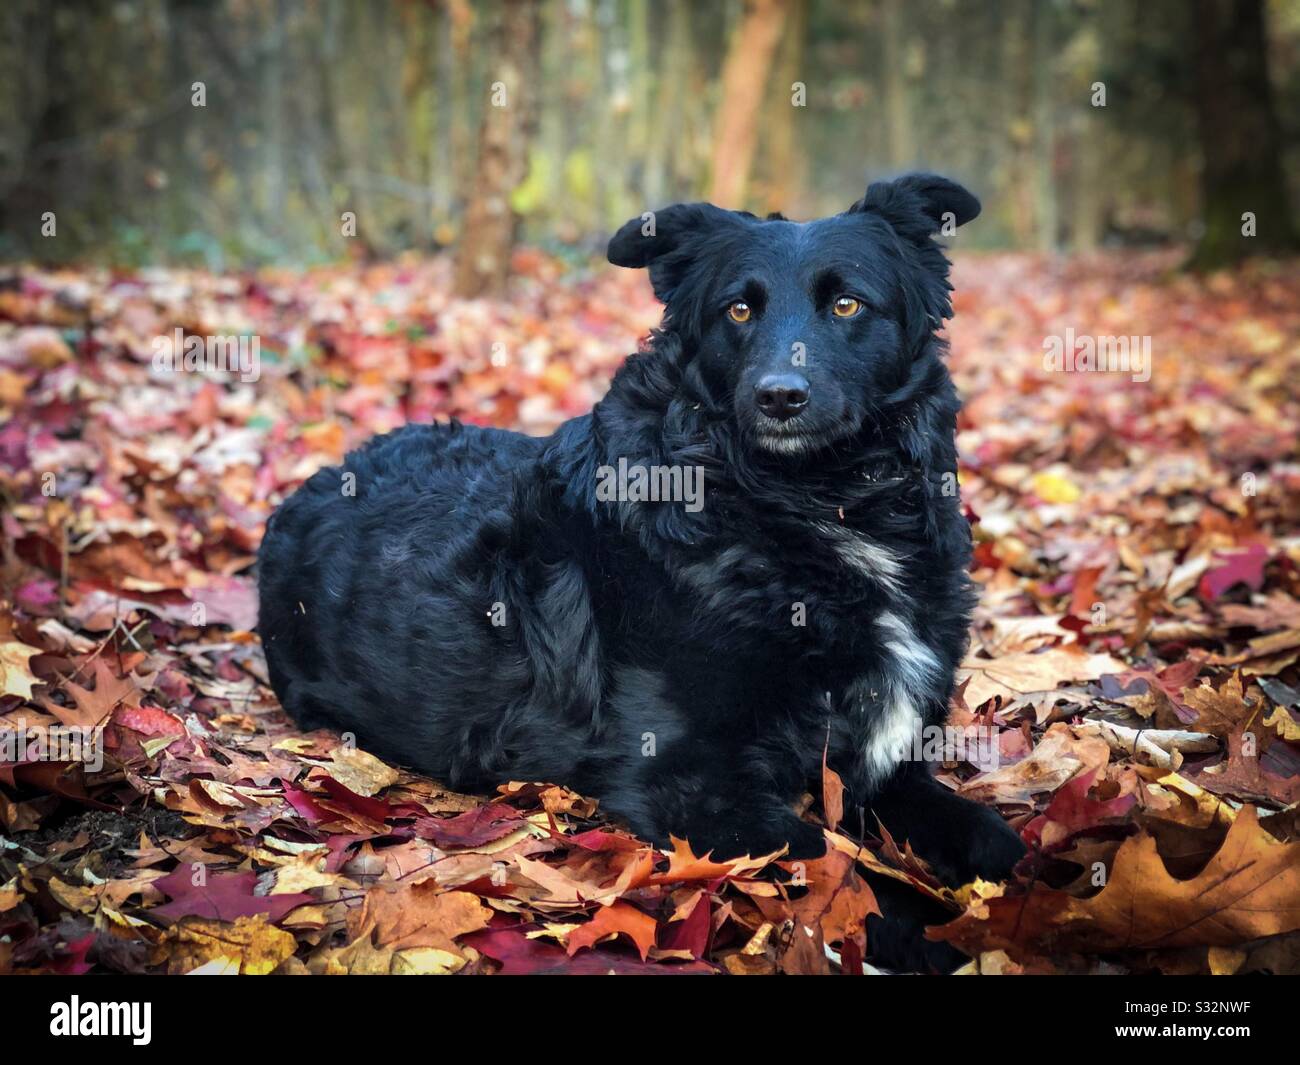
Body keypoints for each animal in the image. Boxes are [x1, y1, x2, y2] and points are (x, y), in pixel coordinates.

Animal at [256, 172, 1024, 967]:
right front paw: (938, 928)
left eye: (847, 304)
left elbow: (998, 838)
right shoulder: (688, 780)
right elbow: (840, 870)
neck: (809, 508)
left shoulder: (886, 763)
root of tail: (318, 480)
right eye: (739, 308)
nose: (780, 396)